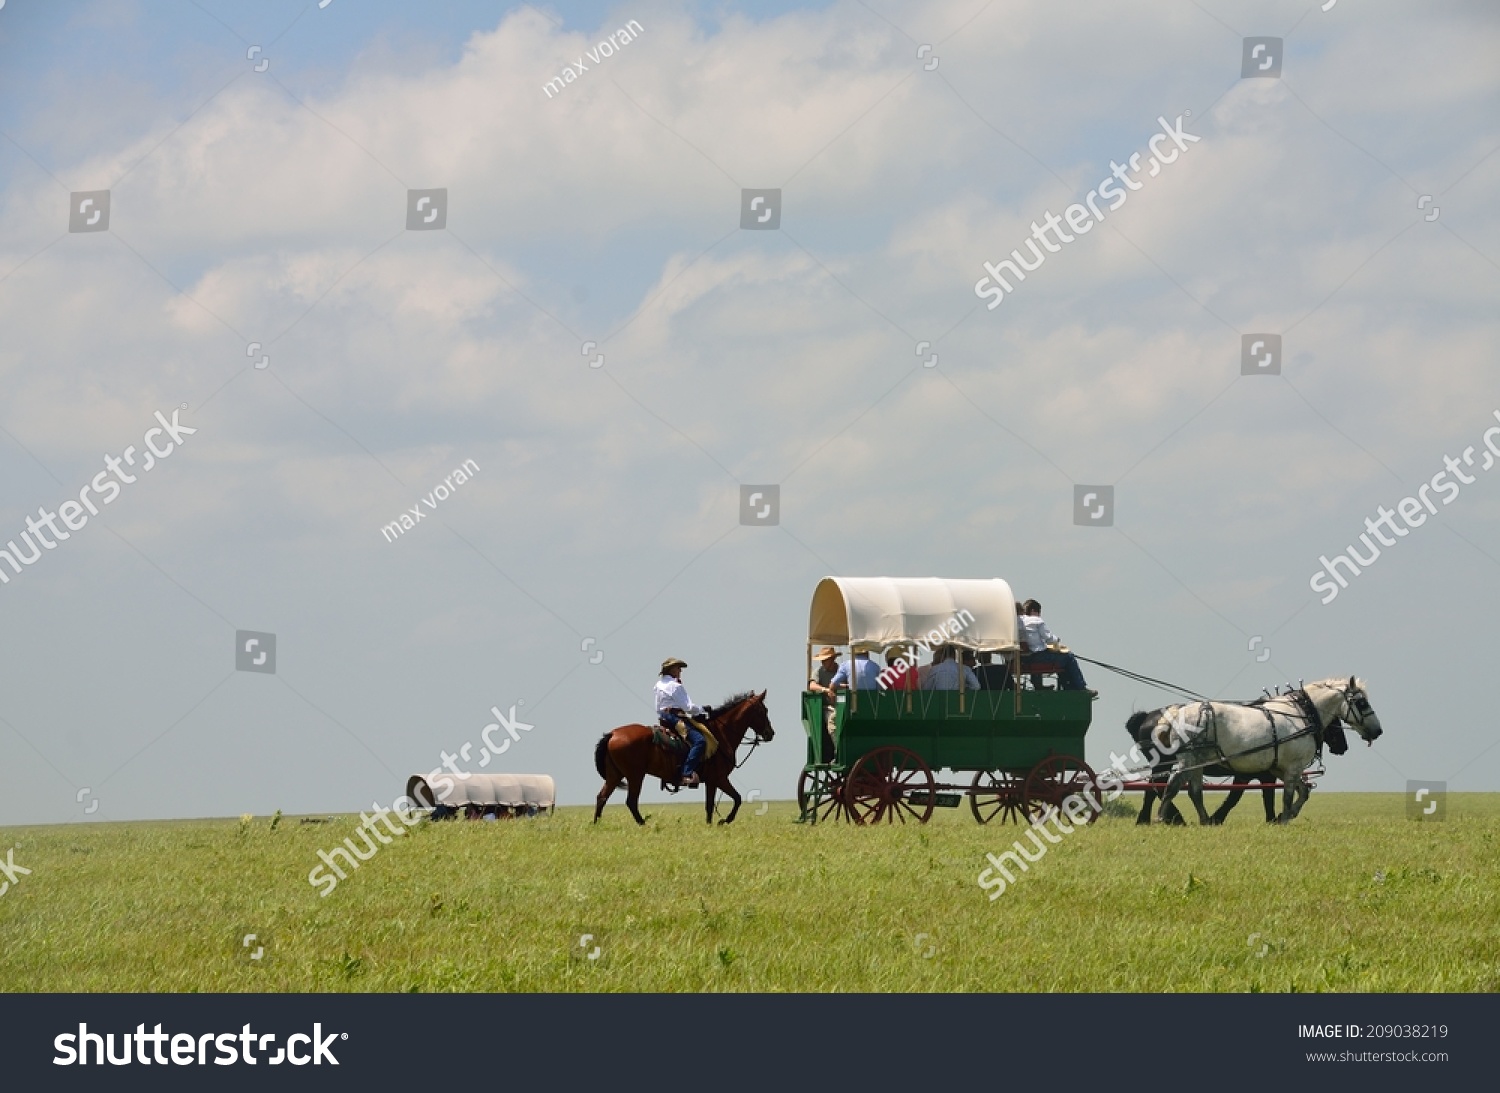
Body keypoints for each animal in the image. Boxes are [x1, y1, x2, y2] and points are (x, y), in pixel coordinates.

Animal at [591, 695, 774, 821]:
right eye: (763, 711)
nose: (770, 733)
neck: (721, 734)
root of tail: (613, 734)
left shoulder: (711, 781)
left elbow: (710, 806)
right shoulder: (719, 779)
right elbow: (737, 799)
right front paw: (725, 821)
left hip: (615, 775)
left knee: (602, 798)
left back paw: (597, 825)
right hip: (635, 775)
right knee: (631, 801)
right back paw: (643, 824)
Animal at [1146, 674, 1380, 827]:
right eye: (1361, 702)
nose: (1378, 731)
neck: (1301, 714)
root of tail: (1177, 712)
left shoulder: (1279, 769)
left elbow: (1303, 792)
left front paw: (1287, 815)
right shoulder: (1292, 768)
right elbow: (1287, 795)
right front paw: (1283, 818)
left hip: (1197, 761)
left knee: (1194, 791)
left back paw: (1204, 820)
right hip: (1188, 759)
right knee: (1172, 786)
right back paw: (1160, 818)